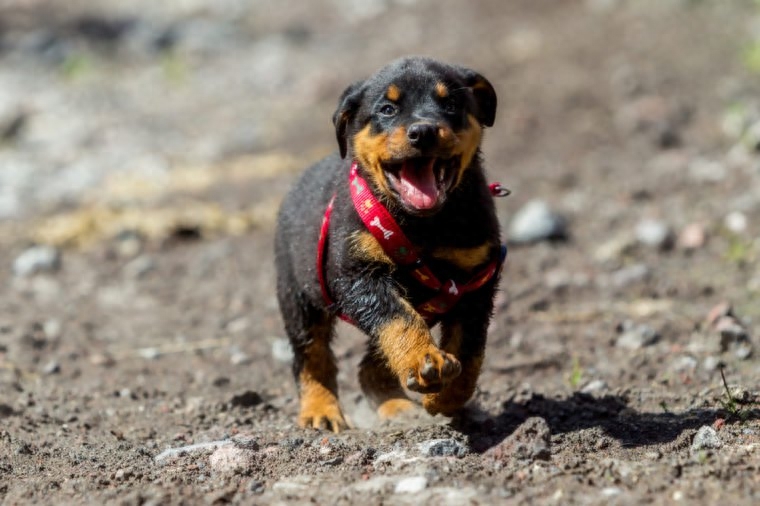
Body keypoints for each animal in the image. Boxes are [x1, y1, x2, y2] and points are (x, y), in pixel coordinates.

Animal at [276, 57, 502, 432]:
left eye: (451, 104)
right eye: (387, 109)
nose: (423, 131)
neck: (424, 226)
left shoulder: (476, 280)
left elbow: (470, 351)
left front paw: (446, 396)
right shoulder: (357, 276)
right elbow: (397, 319)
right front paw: (424, 359)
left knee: (369, 364)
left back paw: (395, 404)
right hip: (297, 296)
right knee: (311, 355)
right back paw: (320, 409)